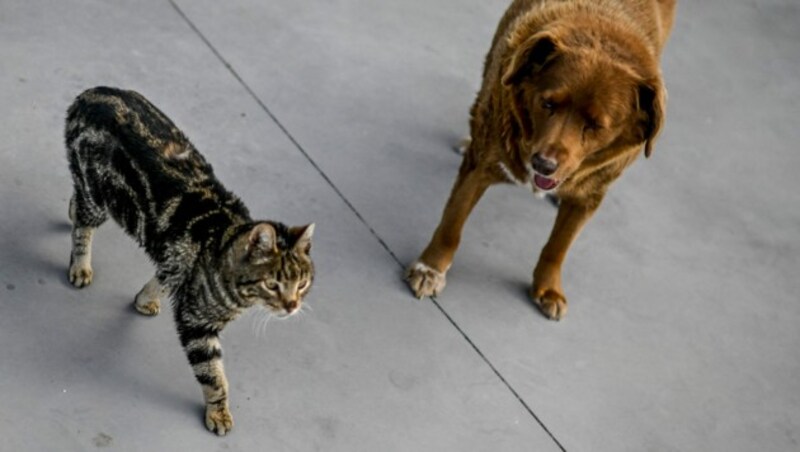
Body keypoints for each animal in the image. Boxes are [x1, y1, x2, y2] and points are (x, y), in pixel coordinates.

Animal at [65, 86, 316, 436]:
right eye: (273, 284)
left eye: (302, 283)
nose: (292, 306)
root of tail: (92, 93)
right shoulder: (196, 324)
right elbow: (214, 376)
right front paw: (218, 412)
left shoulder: (176, 263)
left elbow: (163, 277)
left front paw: (145, 299)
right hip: (100, 198)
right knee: (83, 226)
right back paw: (80, 265)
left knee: (76, 203)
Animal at [406, 0, 676, 320]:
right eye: (547, 103)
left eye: (596, 125)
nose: (543, 165)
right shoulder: (480, 164)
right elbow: (453, 223)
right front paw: (430, 268)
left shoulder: (591, 196)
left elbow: (558, 246)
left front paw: (548, 288)